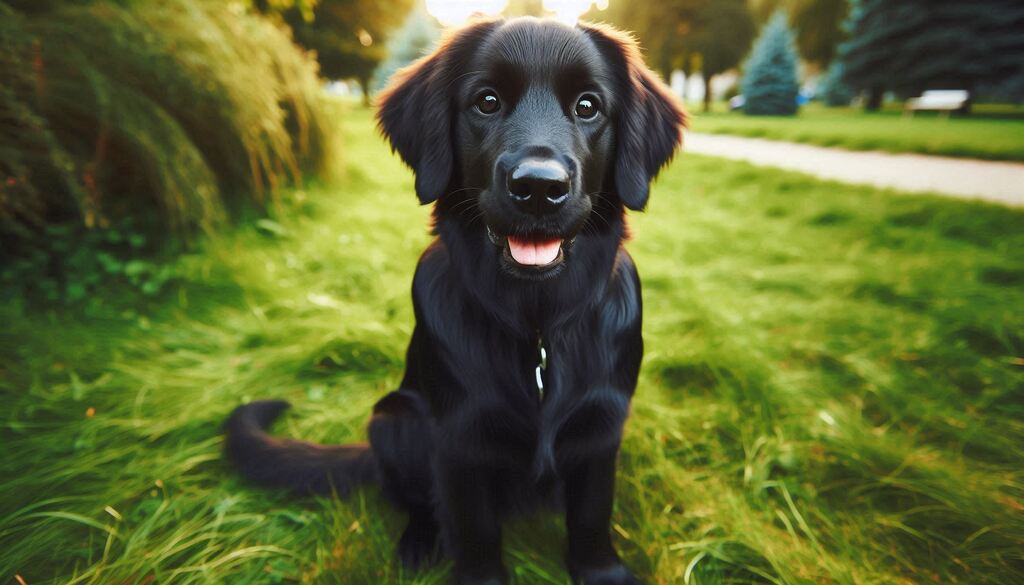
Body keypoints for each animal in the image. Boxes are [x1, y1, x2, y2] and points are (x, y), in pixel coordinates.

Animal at [225, 16, 688, 581]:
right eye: (486, 101)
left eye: (587, 105)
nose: (538, 188)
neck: (537, 324)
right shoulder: (458, 439)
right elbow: (474, 530)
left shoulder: (602, 427)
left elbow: (591, 516)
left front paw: (601, 571)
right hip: (395, 417)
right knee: (421, 503)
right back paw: (418, 542)